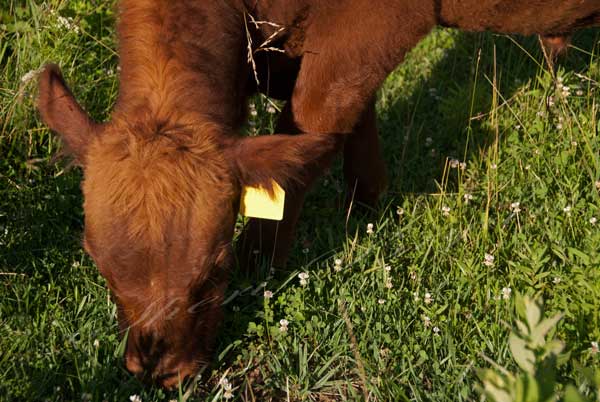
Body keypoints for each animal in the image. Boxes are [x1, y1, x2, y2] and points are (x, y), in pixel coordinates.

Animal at [38, 0, 600, 388]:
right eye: (98, 264)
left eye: (215, 270)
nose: (161, 372)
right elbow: (352, 122)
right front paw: (367, 205)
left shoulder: (370, 26)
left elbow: (311, 126)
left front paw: (262, 266)